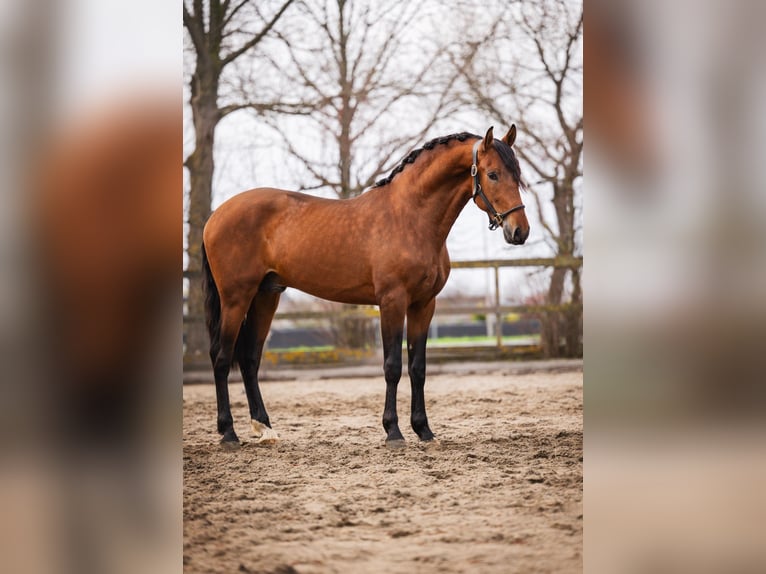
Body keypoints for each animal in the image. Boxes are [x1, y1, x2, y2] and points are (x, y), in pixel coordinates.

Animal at [202, 126, 530, 446]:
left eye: (517, 174)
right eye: (493, 174)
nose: (520, 232)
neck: (410, 217)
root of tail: (216, 215)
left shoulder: (424, 305)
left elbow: (418, 367)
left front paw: (423, 430)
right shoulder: (392, 301)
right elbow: (392, 365)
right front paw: (393, 431)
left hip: (265, 296)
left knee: (249, 359)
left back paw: (265, 428)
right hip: (236, 298)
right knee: (221, 357)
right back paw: (228, 433)